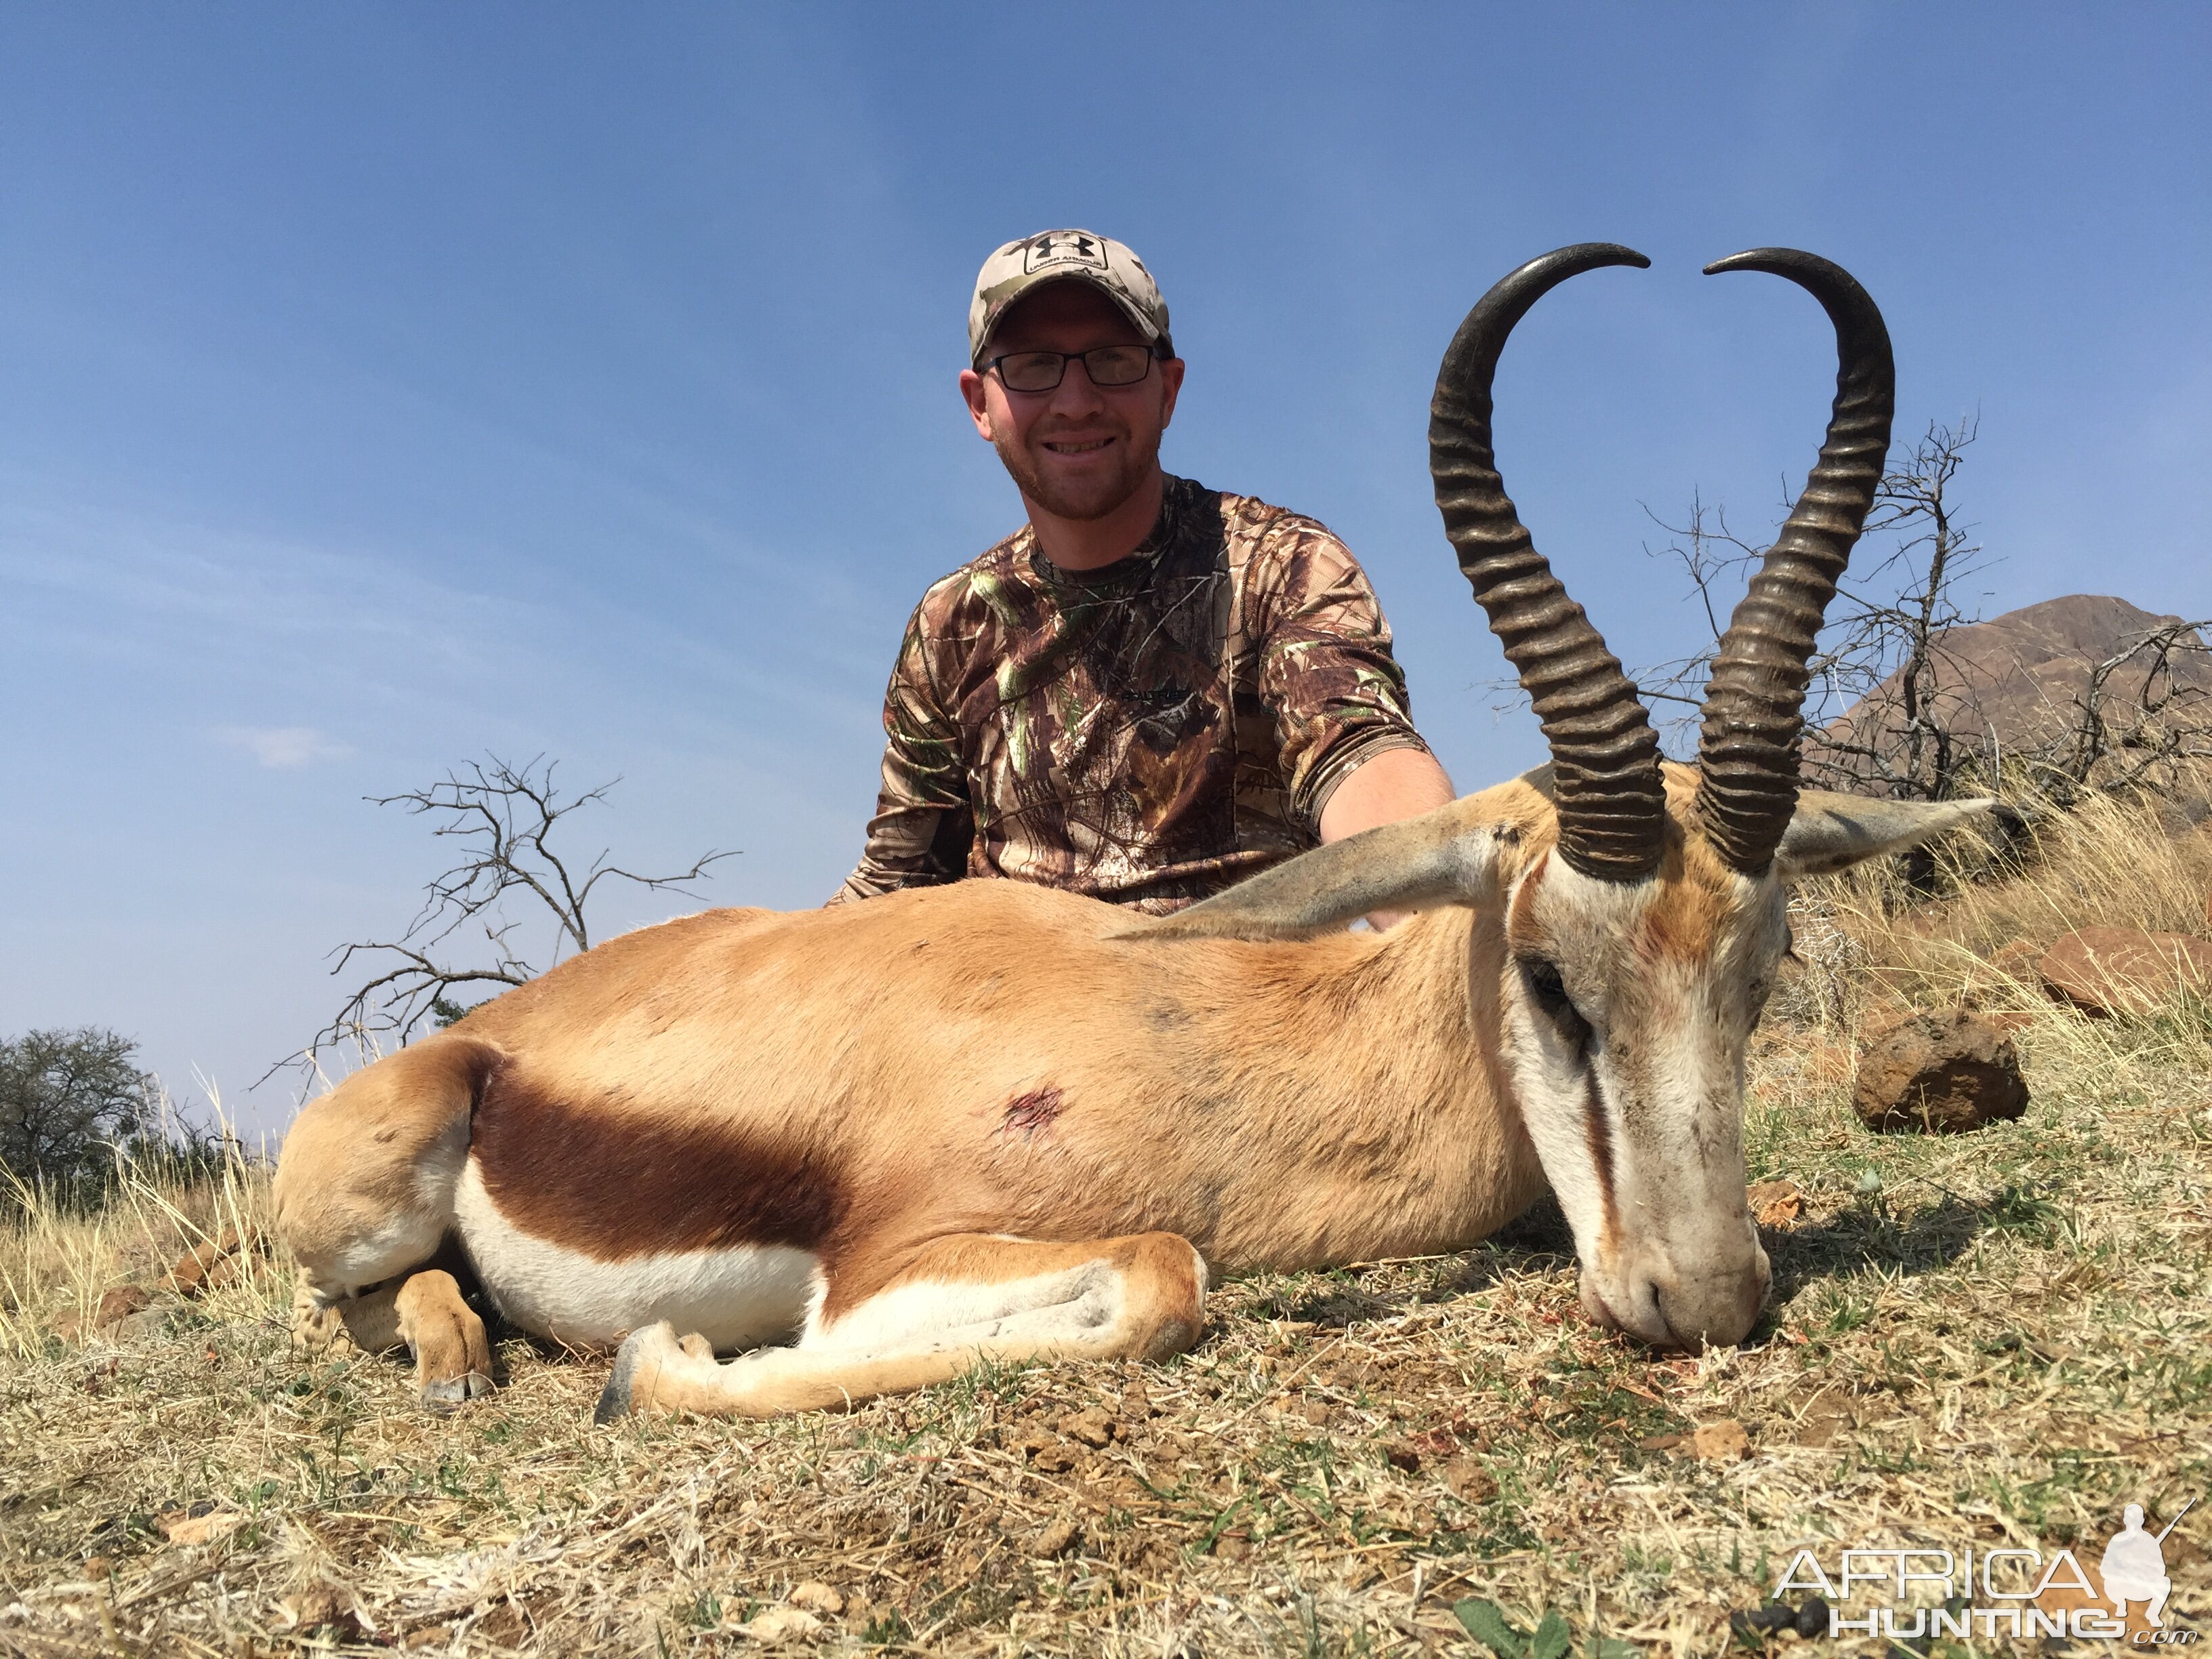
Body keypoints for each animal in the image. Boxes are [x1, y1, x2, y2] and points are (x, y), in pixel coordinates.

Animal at [272, 240, 1990, 1425]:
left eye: (1760, 975)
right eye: (1555, 977)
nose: (1702, 1296)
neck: (1218, 1035)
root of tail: (487, 1038)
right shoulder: (895, 1262)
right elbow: (1166, 1278)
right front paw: (652, 1364)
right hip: (364, 1200)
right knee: (344, 1299)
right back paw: (453, 1357)